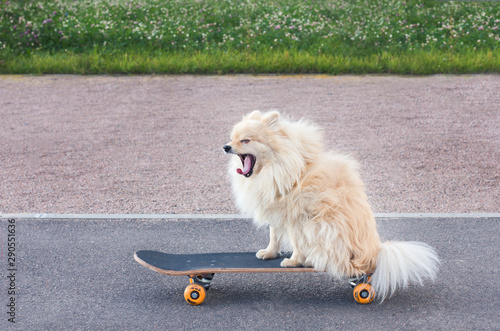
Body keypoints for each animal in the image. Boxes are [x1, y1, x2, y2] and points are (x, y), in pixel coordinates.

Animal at [223, 110, 438, 302]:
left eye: (245, 141)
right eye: (232, 139)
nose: (225, 147)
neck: (282, 167)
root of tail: (375, 253)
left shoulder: (296, 215)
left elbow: (296, 241)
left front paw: (294, 261)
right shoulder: (277, 209)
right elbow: (274, 235)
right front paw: (269, 253)